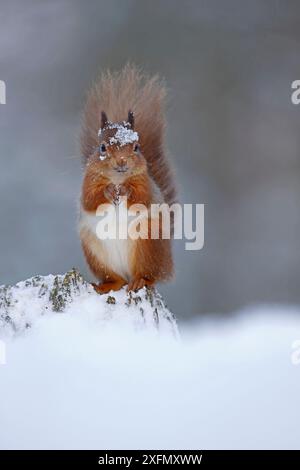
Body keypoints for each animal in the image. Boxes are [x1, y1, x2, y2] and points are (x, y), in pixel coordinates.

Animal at [79, 65, 176, 294]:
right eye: (102, 147)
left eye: (136, 147)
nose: (122, 161)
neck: (117, 179)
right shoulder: (88, 182)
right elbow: (90, 200)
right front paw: (108, 192)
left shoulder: (145, 184)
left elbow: (140, 198)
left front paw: (124, 191)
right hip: (97, 255)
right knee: (117, 279)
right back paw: (107, 285)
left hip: (147, 243)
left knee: (150, 276)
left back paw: (141, 281)